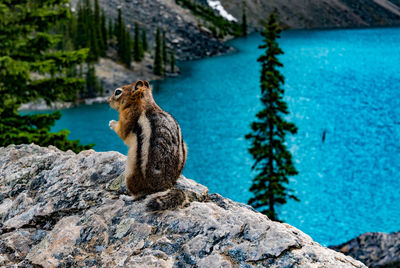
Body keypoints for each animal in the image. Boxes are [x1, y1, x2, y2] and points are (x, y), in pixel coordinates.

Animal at [107, 80, 187, 210]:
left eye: (117, 92)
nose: (107, 100)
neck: (145, 102)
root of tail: (164, 187)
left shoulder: (127, 118)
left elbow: (121, 131)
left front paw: (112, 123)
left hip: (131, 173)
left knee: (138, 194)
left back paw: (126, 197)